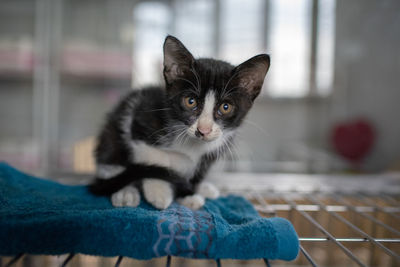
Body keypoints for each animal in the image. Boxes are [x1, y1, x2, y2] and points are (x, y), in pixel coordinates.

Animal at [89, 36, 270, 211]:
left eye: (225, 107)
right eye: (190, 101)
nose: (203, 130)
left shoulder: (214, 149)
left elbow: (196, 173)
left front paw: (188, 194)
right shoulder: (139, 118)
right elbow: (152, 157)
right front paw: (159, 191)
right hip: (112, 136)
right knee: (112, 164)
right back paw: (125, 192)